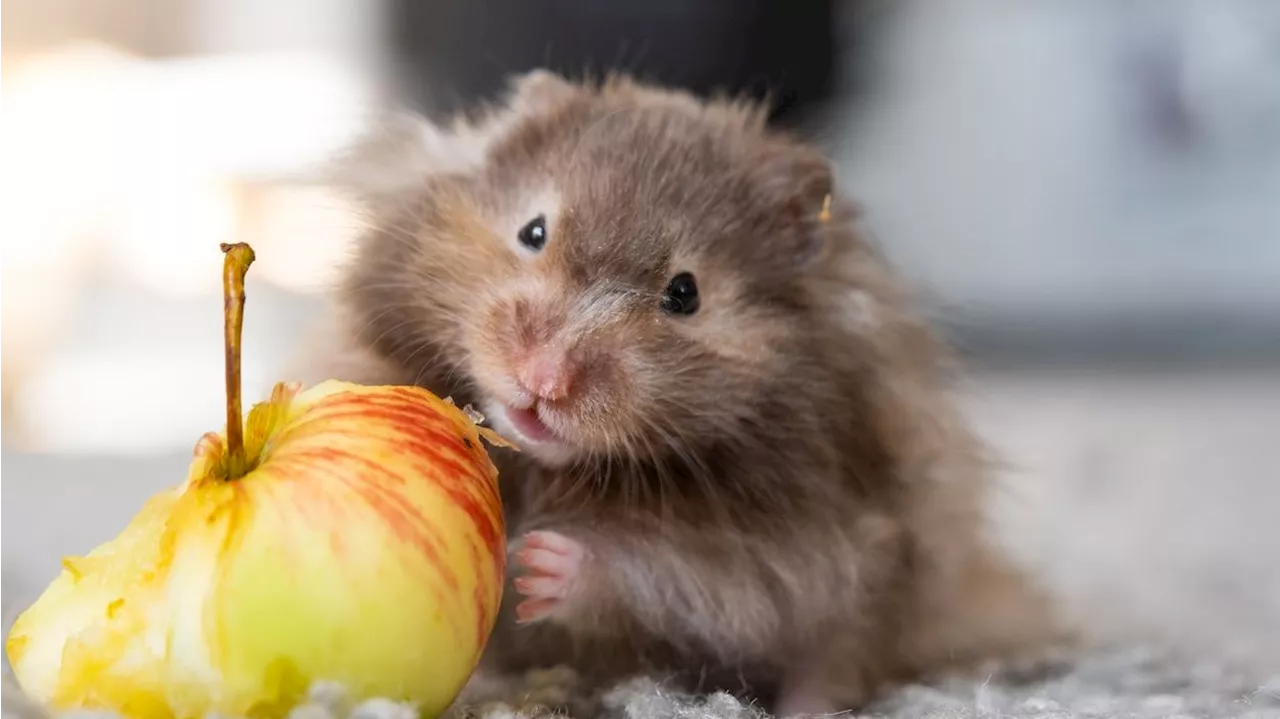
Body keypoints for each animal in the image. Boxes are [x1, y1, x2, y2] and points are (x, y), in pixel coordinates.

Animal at [296, 71, 1070, 711]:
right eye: (532, 230)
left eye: (685, 293)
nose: (543, 380)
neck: (554, 469)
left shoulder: (784, 545)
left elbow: (667, 573)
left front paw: (538, 562)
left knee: (836, 658)